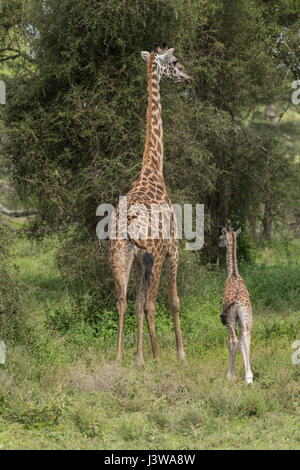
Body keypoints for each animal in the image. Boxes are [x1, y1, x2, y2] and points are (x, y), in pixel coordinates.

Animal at [109, 46, 191, 366]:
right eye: (176, 62)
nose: (189, 77)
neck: (153, 167)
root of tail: (128, 225)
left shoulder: (137, 260)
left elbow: (136, 303)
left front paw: (138, 358)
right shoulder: (173, 248)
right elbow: (174, 301)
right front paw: (180, 354)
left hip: (119, 257)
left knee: (122, 302)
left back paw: (120, 358)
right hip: (152, 257)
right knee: (152, 304)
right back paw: (159, 358)